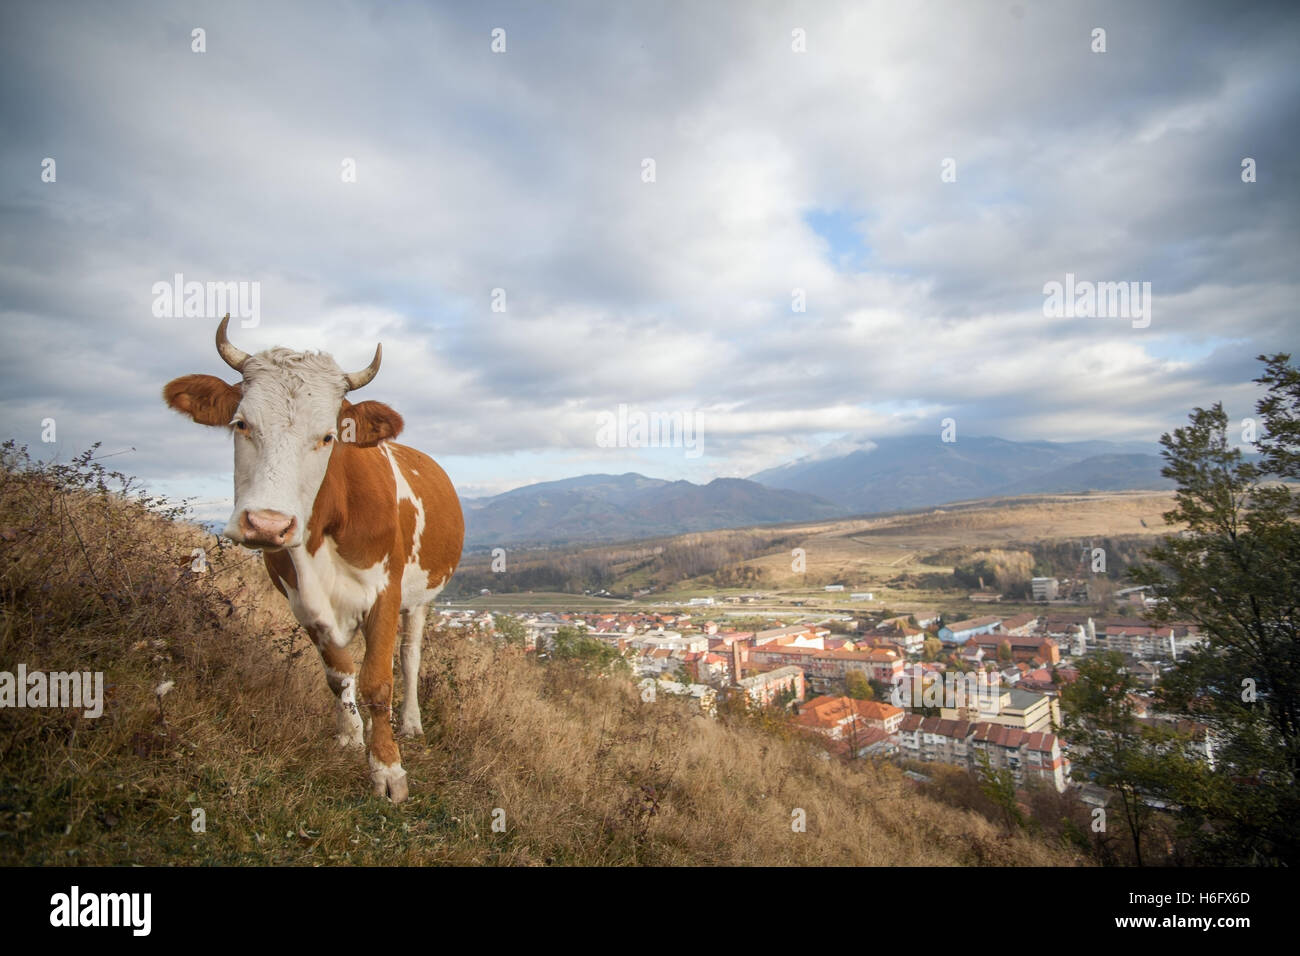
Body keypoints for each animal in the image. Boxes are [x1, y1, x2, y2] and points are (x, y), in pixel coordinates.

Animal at [163, 315, 463, 802]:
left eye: (327, 436)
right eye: (240, 423)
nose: (266, 524)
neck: (324, 527)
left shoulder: (385, 592)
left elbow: (378, 680)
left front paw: (388, 768)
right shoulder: (300, 600)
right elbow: (339, 674)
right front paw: (351, 734)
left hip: (422, 597)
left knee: (411, 655)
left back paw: (412, 723)